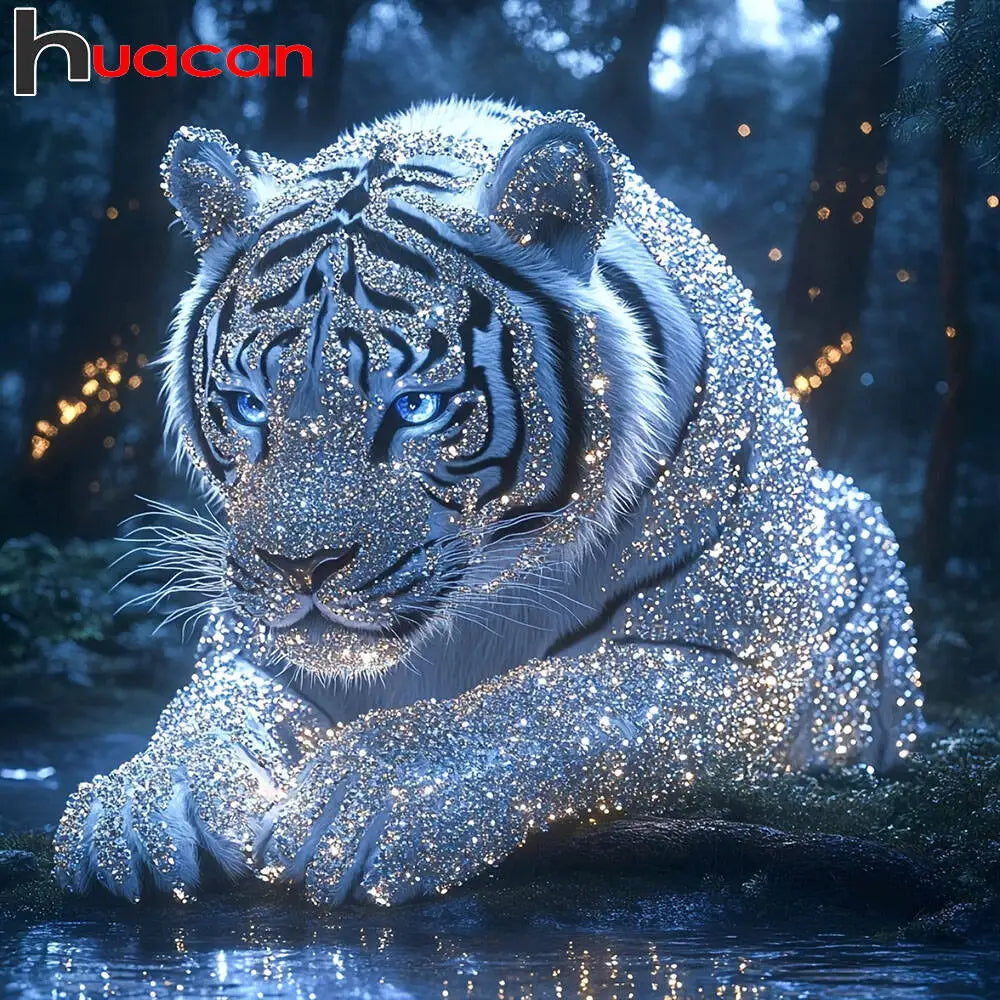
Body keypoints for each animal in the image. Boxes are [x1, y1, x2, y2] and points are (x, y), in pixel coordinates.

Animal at [54, 98, 923, 907]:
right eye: (247, 406)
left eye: (415, 408)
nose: (299, 568)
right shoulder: (250, 644)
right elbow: (208, 714)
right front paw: (136, 807)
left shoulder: (743, 663)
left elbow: (554, 702)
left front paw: (363, 802)